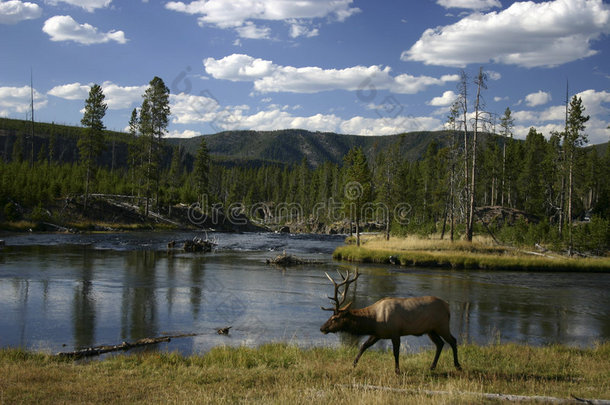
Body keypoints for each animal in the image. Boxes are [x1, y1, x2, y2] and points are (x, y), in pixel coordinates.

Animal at [320, 268, 458, 372]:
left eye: (334, 318)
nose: (322, 328)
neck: (374, 320)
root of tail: (448, 306)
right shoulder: (378, 333)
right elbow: (363, 346)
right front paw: (353, 364)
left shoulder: (395, 332)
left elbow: (396, 353)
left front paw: (397, 371)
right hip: (431, 330)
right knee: (440, 344)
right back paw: (432, 367)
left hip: (442, 325)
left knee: (453, 340)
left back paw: (457, 365)